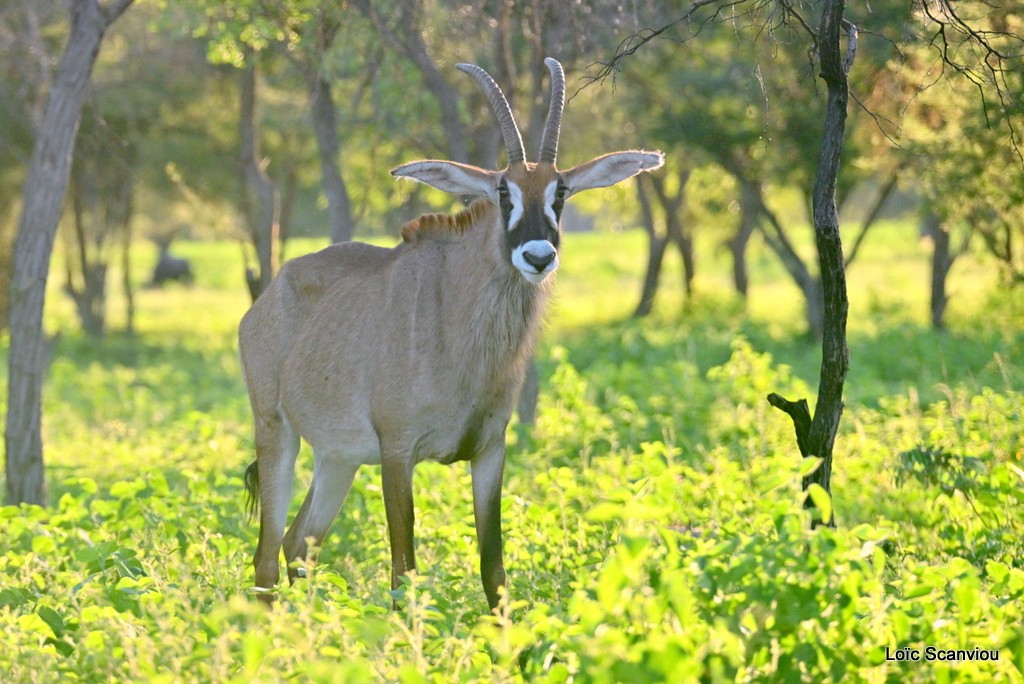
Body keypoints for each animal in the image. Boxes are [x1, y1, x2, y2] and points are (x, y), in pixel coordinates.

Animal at [239, 54, 663, 610]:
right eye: (503, 191)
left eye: (561, 191)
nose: (538, 256)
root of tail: (268, 297)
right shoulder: (398, 453)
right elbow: (404, 574)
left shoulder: (489, 451)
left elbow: (494, 570)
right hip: (277, 433)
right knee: (267, 558)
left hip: (338, 459)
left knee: (298, 545)